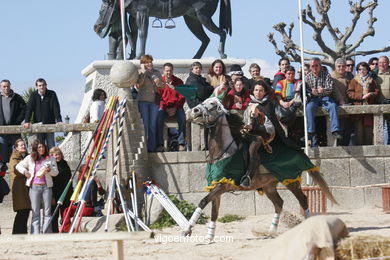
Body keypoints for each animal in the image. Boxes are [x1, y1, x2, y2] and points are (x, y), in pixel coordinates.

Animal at [95, 0, 232, 59]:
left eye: (101, 11)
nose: (96, 27)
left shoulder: (142, 12)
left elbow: (142, 34)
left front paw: (140, 56)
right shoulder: (133, 16)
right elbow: (133, 35)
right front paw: (132, 57)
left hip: (203, 16)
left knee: (222, 33)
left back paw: (222, 54)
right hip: (192, 19)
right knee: (205, 39)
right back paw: (196, 57)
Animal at [184, 97, 336, 240]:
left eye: (212, 104)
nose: (194, 111)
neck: (224, 152)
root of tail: (299, 151)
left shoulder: (222, 185)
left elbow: (203, 202)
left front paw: (187, 230)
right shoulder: (215, 186)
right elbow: (214, 212)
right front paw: (208, 236)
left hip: (291, 180)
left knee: (303, 200)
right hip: (269, 186)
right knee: (279, 203)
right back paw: (271, 231)